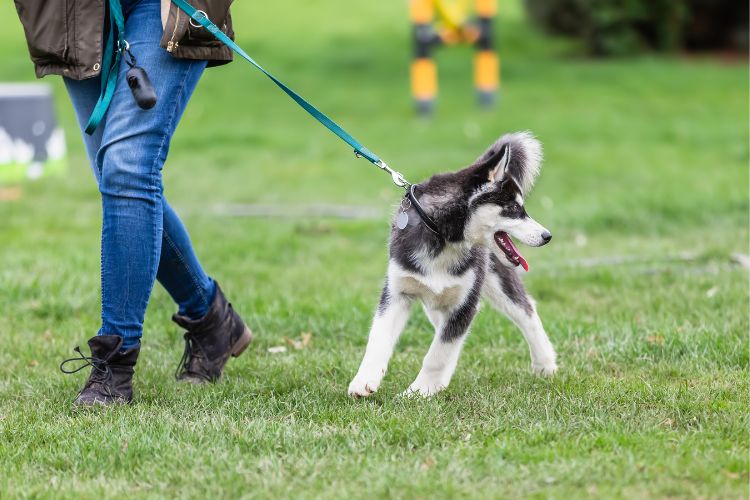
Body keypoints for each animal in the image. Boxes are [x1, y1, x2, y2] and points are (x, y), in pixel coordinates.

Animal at [348, 131, 560, 396]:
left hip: (495, 280)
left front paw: (419, 391)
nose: (547, 236)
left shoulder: (465, 303)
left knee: (527, 311)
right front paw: (364, 381)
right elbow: (379, 339)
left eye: (522, 207)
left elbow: (438, 354)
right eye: (513, 208)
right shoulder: (397, 291)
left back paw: (545, 363)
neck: (444, 239)